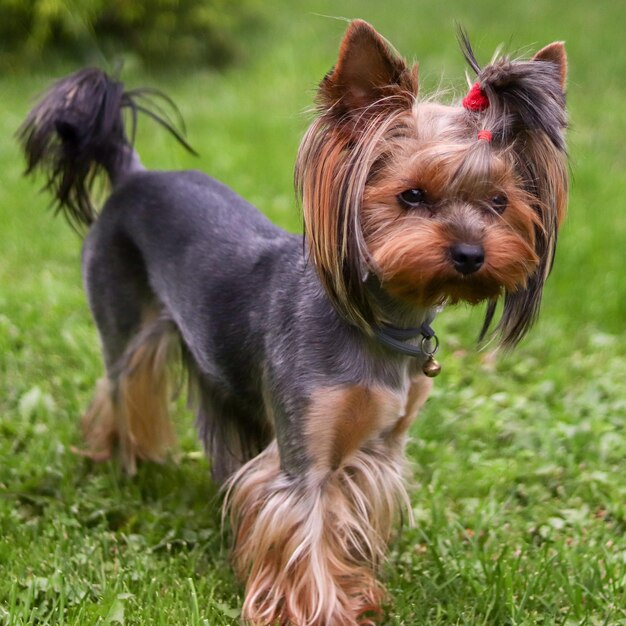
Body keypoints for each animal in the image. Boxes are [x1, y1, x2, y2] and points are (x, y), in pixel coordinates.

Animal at [18, 19, 564, 624]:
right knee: (120, 388)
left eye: (499, 202)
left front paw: (359, 595)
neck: (377, 320)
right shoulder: (306, 458)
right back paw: (116, 464)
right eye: (412, 196)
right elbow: (308, 536)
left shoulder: (378, 450)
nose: (471, 254)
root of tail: (133, 176)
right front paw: (323, 610)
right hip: (124, 324)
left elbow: (349, 523)